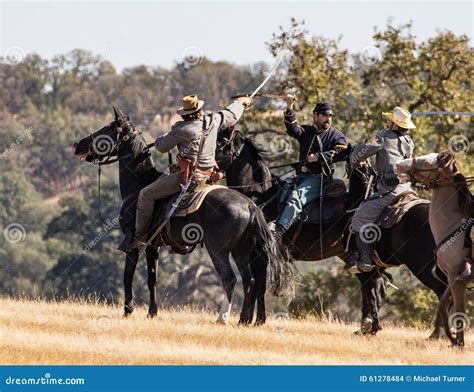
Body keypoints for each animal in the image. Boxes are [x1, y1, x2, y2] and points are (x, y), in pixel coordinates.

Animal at [73, 108, 292, 324]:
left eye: (107, 129)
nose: (78, 145)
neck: (140, 183)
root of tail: (250, 205)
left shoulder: (133, 245)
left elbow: (128, 275)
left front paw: (128, 310)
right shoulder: (153, 247)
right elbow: (152, 279)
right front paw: (152, 312)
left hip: (219, 251)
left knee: (230, 279)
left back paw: (222, 317)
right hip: (241, 251)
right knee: (250, 280)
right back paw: (243, 320)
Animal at [216, 129, 448, 336]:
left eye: (220, 143)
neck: (262, 197)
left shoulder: (259, 253)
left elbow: (257, 283)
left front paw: (249, 320)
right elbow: (259, 284)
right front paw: (257, 320)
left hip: (421, 267)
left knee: (439, 291)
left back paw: (435, 334)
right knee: (375, 285)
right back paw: (370, 328)